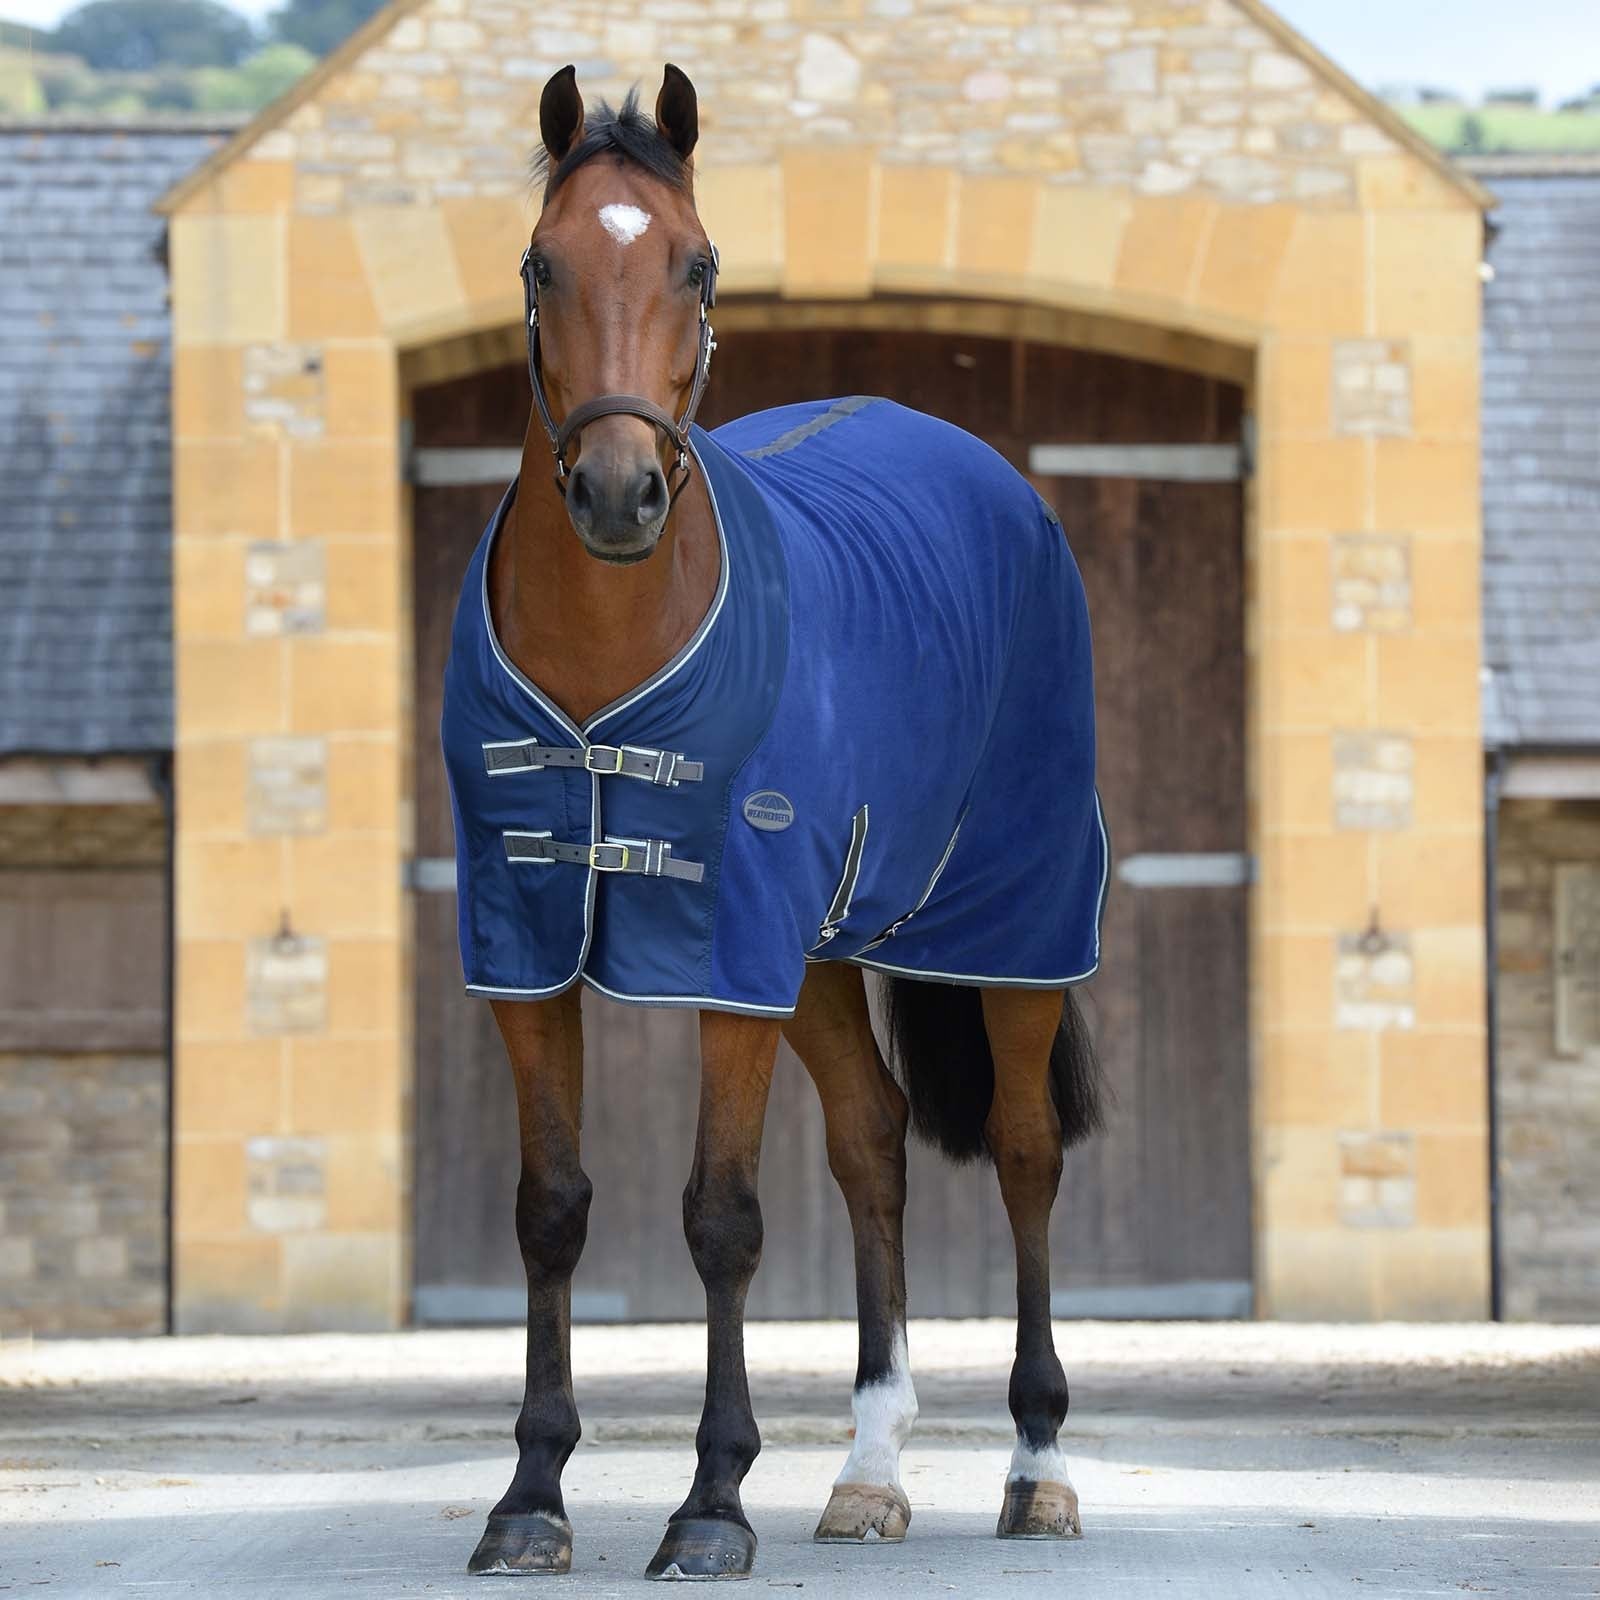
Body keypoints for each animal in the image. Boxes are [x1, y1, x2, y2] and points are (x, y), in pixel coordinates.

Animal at [441, 63, 1108, 1581]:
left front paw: (710, 1503)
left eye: (698, 264)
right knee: (871, 1144)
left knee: (1027, 1154)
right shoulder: (525, 946)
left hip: (1015, 923)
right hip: (815, 957)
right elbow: (550, 1210)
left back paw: (1038, 1465)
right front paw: (531, 1496)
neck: (607, 662)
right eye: (541, 262)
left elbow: (723, 1218)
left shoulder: (721, 949)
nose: (617, 493)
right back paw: (868, 1471)